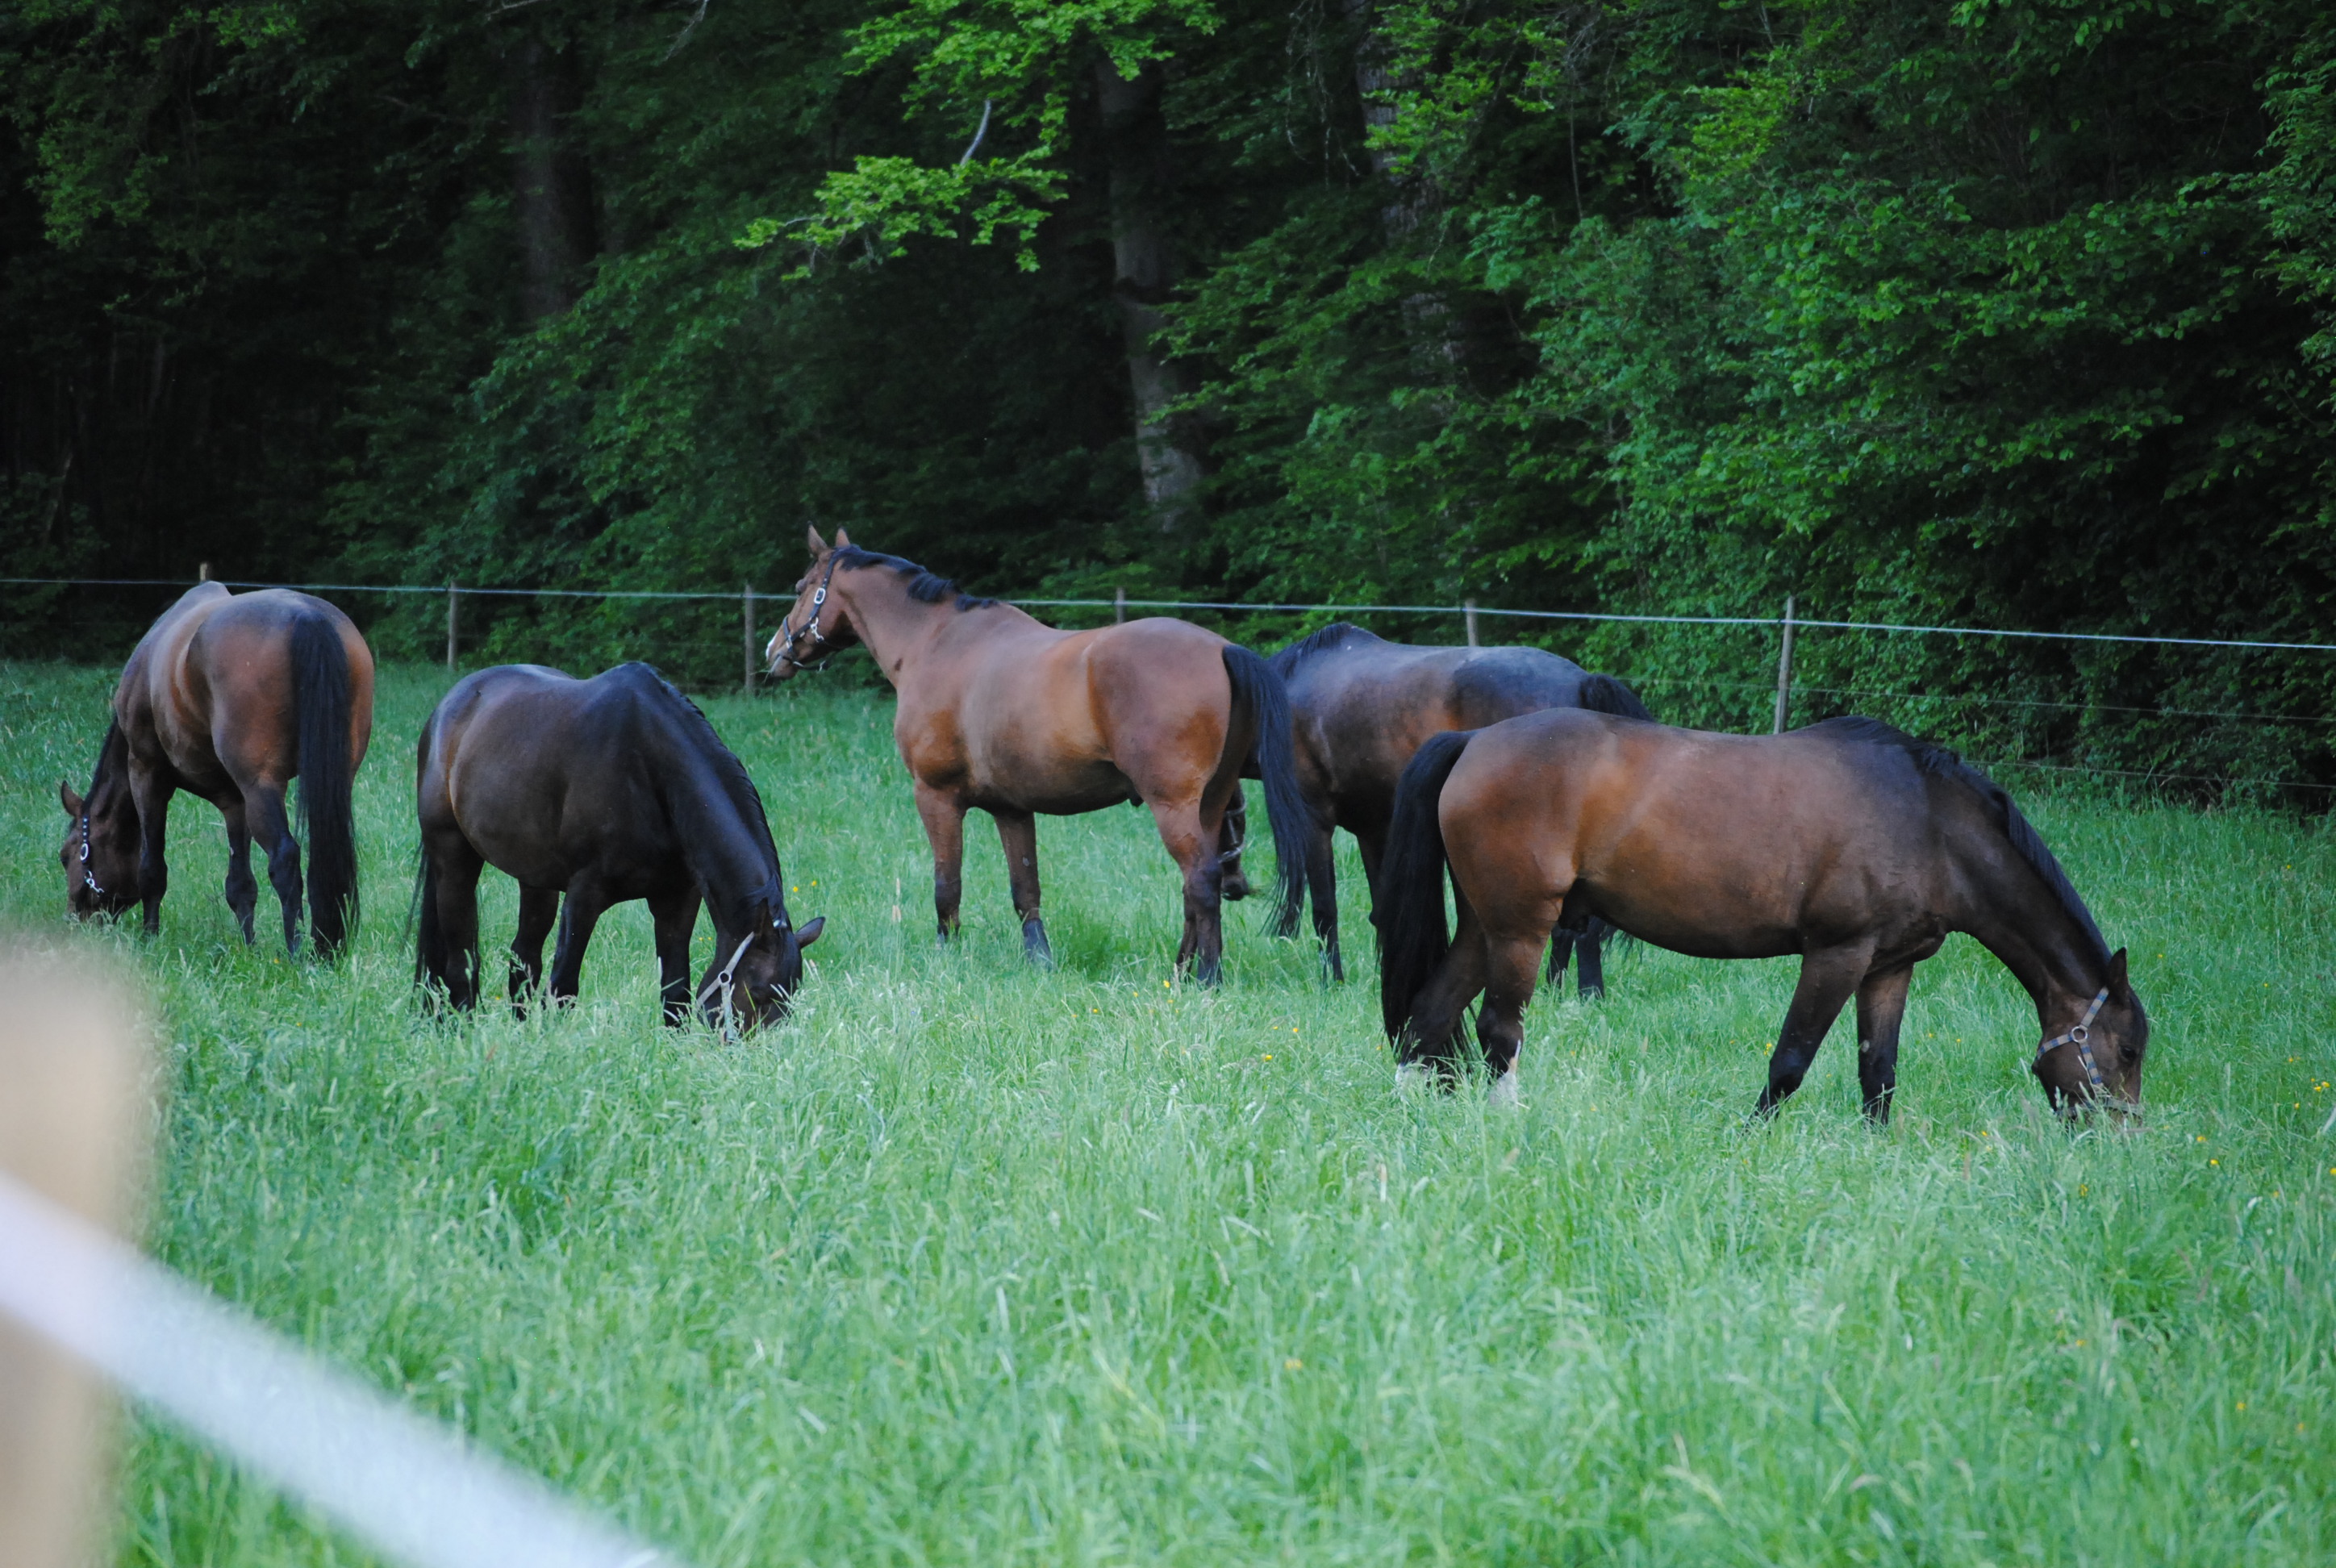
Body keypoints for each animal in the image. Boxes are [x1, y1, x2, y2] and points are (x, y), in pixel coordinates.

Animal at [58, 584, 371, 956]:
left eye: (66, 856)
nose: (75, 920)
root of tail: (306, 615)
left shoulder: (146, 773)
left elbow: (152, 867)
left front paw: (150, 938)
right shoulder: (234, 801)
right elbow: (240, 884)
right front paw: (249, 949)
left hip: (261, 785)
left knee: (285, 859)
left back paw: (297, 953)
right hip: (335, 780)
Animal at [414, 662, 823, 1029]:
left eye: (789, 1000)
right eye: (759, 992)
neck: (649, 770)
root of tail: (450, 704)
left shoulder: (677, 901)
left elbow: (675, 994)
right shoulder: (584, 895)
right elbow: (563, 988)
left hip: (536, 880)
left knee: (523, 960)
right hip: (454, 859)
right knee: (460, 962)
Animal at [763, 527, 1311, 984]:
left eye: (801, 585)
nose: (774, 651)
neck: (935, 643)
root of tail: (1221, 649)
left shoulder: (936, 797)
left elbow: (947, 886)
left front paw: (945, 956)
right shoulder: (1012, 808)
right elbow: (1025, 891)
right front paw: (1040, 963)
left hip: (1173, 807)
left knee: (1201, 880)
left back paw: (1206, 977)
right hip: (1210, 806)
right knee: (1197, 887)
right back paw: (1181, 969)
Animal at [1258, 621, 1654, 986]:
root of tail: (1581, 681)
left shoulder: (1316, 820)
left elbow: (1326, 910)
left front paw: (1333, 981)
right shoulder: (1373, 829)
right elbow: (1383, 910)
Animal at [1378, 711, 2146, 1119]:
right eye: (2129, 1050)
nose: (2123, 1136)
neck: (1928, 822)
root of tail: (1475, 740)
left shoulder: (1889, 968)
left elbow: (1879, 1072)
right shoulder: (1836, 954)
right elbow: (1790, 1061)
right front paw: (1749, 1143)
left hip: (1483, 927)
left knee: (1427, 1018)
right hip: (1520, 931)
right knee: (1496, 1032)